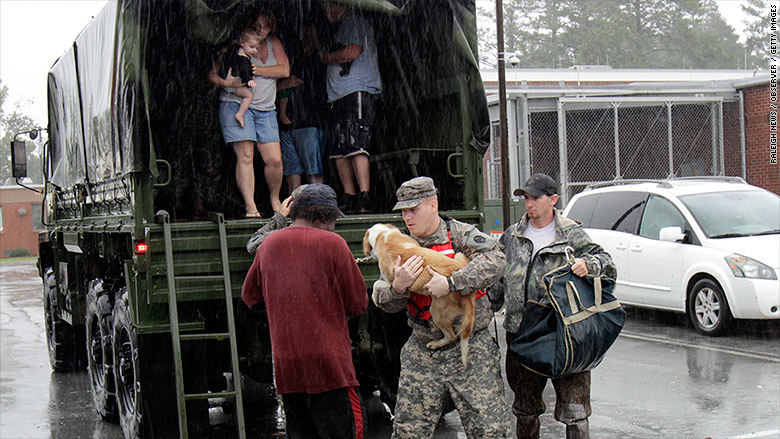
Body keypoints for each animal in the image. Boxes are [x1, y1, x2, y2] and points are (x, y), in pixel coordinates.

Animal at [364, 223, 476, 368]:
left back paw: (435, 344)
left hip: (437, 311)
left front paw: (374, 298)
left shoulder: (397, 286)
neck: (381, 235)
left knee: (452, 337)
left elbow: (376, 283)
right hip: (459, 255)